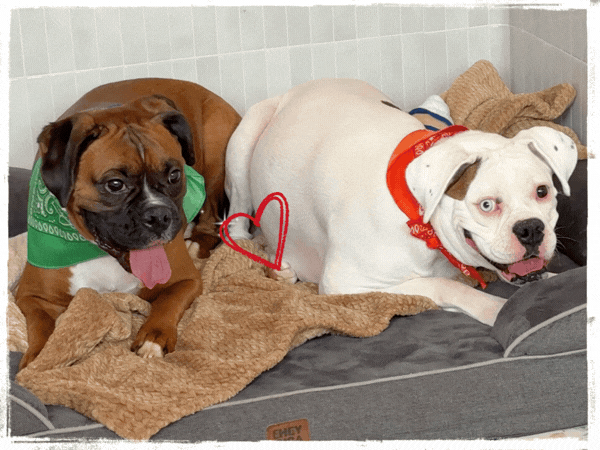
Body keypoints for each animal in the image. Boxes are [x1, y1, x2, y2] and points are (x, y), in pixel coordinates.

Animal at [15, 78, 241, 370]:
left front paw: (154, 337)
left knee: (211, 213)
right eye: (115, 184)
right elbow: (41, 323)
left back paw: (198, 241)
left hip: (216, 156)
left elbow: (168, 302)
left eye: (174, 175)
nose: (159, 216)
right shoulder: (30, 295)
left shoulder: (186, 280)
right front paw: (42, 356)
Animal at [224, 78, 578, 326]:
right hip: (244, 142)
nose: (531, 229)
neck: (419, 217)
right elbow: (445, 286)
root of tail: (298, 89)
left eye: (542, 192)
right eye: (487, 205)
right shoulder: (349, 286)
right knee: (238, 225)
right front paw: (498, 309)